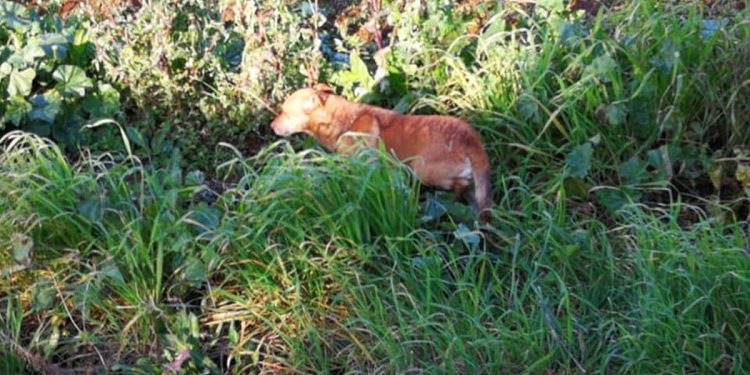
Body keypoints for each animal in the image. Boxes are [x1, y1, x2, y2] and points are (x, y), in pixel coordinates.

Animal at [270, 85, 494, 223]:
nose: (271, 126)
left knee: (460, 183)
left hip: (422, 169)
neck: (345, 123)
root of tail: (470, 138)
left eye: (284, 112)